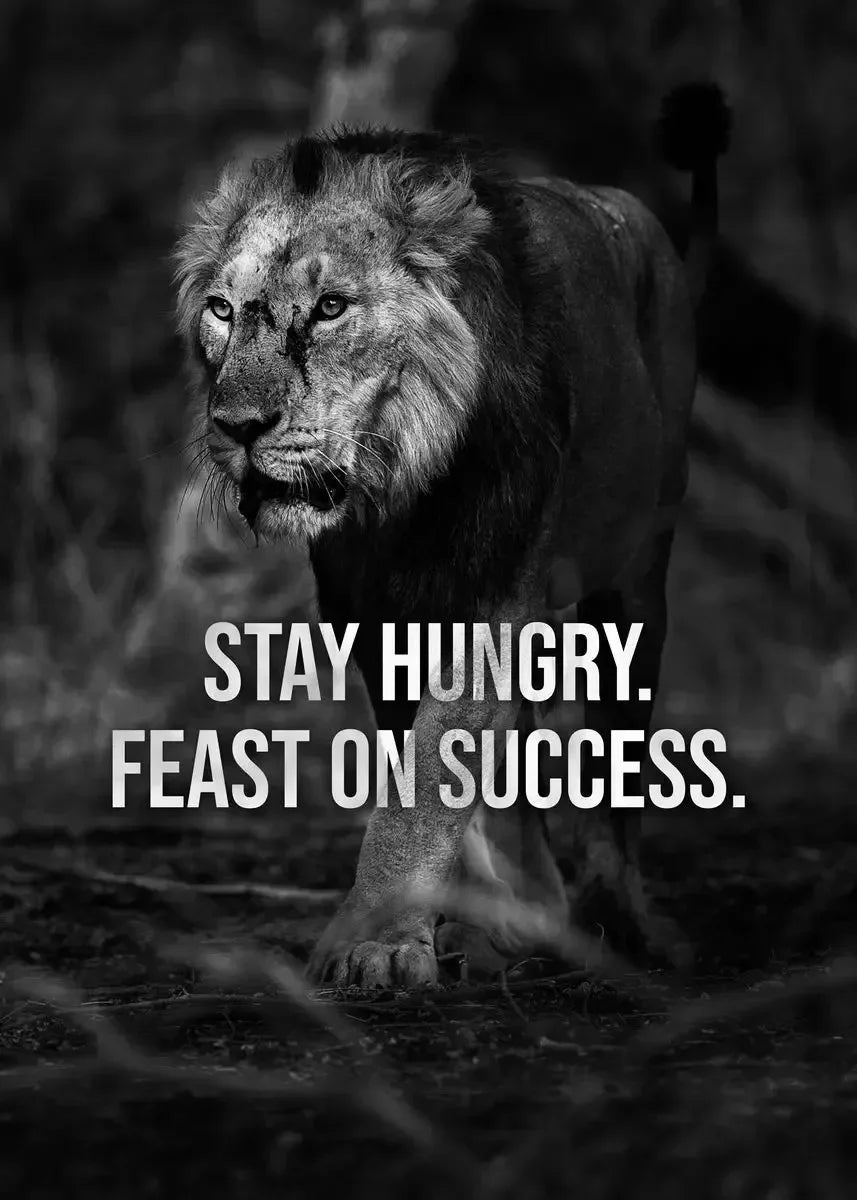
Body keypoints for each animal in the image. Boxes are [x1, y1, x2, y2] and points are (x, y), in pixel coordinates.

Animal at [175, 83, 730, 988]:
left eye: (330, 308)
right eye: (221, 310)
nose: (237, 427)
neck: (401, 483)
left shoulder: (491, 587)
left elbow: (432, 770)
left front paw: (372, 939)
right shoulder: (369, 611)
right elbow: (429, 767)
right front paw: (454, 925)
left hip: (636, 577)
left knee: (615, 774)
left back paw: (618, 920)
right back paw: (524, 917)